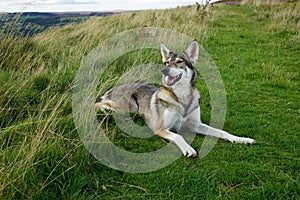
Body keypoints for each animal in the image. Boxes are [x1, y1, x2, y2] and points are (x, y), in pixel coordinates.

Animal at [96, 39, 255, 157]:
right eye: (166, 62)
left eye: (179, 62)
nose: (164, 70)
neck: (182, 98)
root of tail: (114, 87)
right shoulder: (160, 128)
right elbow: (178, 136)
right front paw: (189, 149)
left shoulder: (195, 124)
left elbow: (221, 131)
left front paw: (241, 139)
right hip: (130, 106)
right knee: (97, 103)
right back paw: (104, 110)